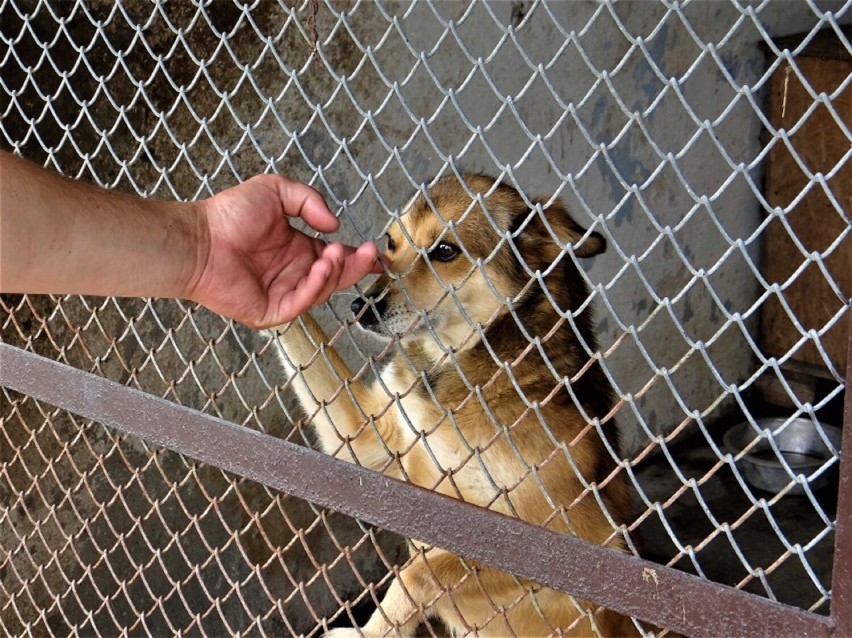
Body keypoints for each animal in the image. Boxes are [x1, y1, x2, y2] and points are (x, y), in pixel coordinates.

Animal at [276, 175, 636, 638]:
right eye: (391, 242)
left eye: (445, 251)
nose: (361, 306)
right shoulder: (370, 438)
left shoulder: (574, 546)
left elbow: (419, 573)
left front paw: (367, 632)